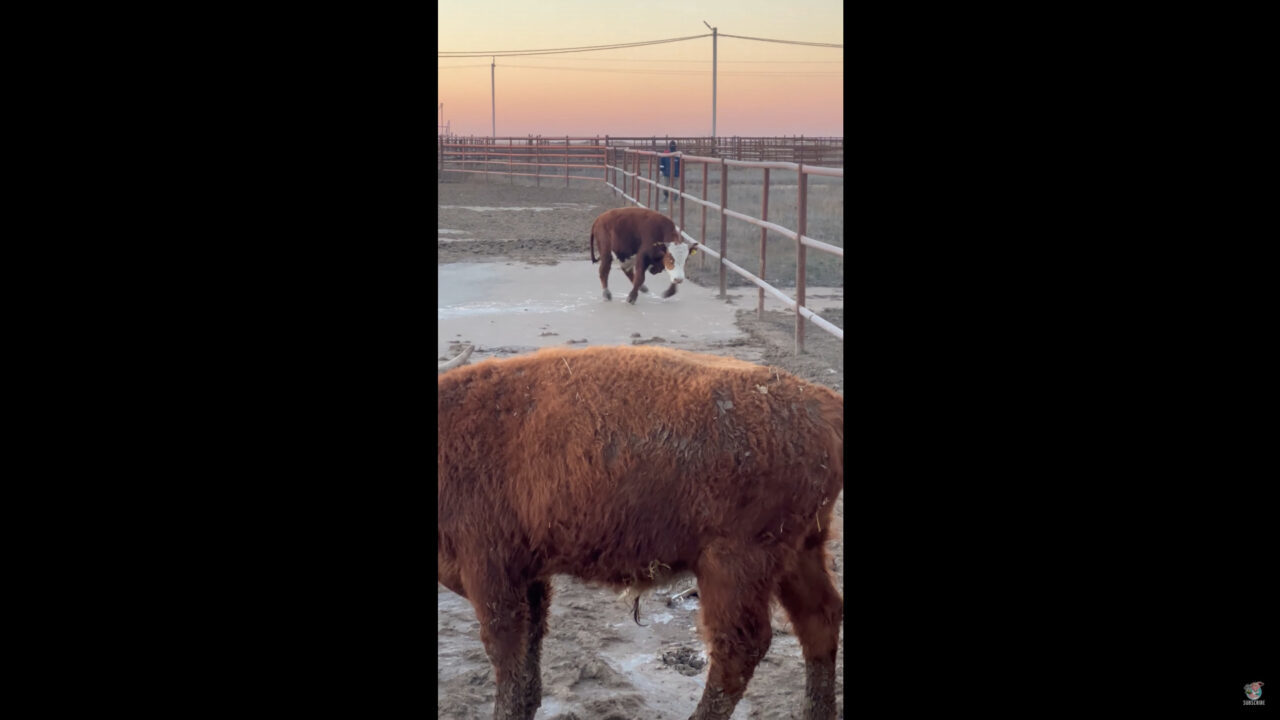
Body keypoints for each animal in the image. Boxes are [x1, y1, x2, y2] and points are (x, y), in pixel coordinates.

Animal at [435, 345, 844, 712]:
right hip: (800, 552)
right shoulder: (529, 576)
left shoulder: (491, 576)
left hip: (734, 566)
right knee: (819, 620)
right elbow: (528, 661)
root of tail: (823, 402)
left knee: (739, 648)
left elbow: (507, 660)